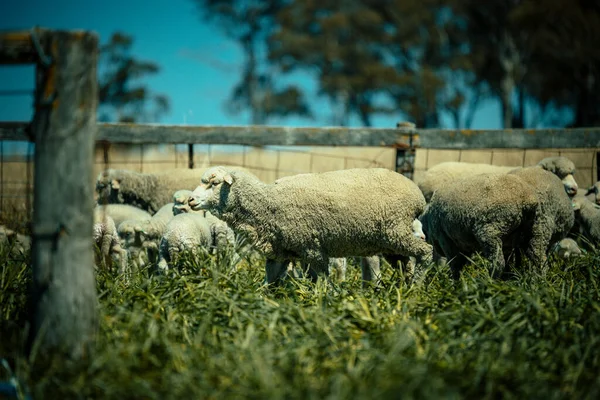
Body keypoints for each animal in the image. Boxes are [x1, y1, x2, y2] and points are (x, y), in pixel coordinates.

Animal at [188, 166, 432, 284]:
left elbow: (324, 281)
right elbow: (269, 284)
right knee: (405, 264)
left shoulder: (313, 249)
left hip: (396, 231)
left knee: (426, 253)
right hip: (390, 242)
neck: (267, 203)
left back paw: (414, 290)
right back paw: (400, 291)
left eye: (214, 183)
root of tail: (417, 195)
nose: (190, 200)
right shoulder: (281, 253)